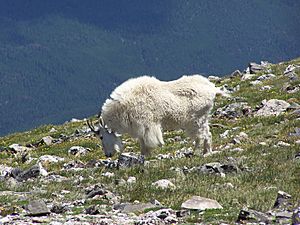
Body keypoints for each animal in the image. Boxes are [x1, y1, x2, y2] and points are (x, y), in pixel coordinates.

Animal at [88, 74, 224, 157]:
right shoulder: (140, 128)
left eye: (101, 136)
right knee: (206, 134)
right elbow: (142, 142)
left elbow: (148, 141)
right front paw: (142, 156)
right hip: (201, 119)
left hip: (196, 119)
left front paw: (147, 155)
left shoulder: (147, 124)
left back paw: (203, 152)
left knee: (203, 135)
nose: (108, 154)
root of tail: (212, 89)